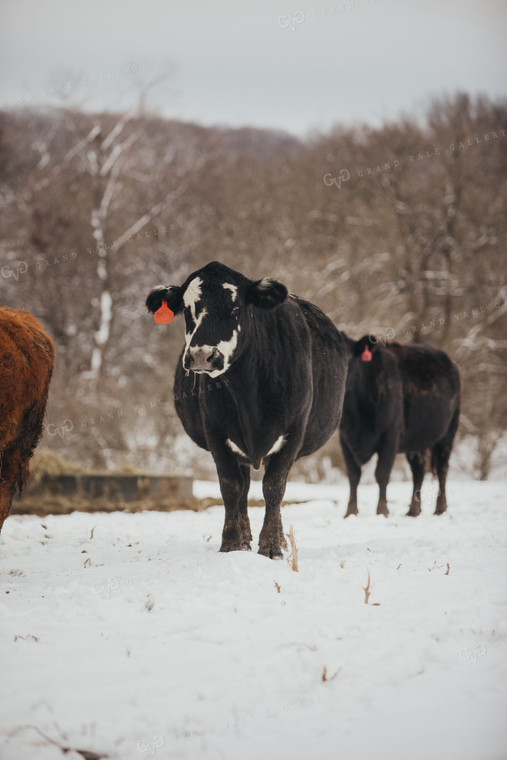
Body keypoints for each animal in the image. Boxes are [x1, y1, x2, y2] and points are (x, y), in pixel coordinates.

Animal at [145, 262, 348, 560]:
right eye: (187, 308)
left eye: (236, 307)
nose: (201, 355)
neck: (248, 392)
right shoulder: (216, 433)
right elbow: (231, 488)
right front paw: (232, 544)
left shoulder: (293, 432)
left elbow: (274, 488)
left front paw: (272, 545)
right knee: (243, 490)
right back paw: (245, 536)